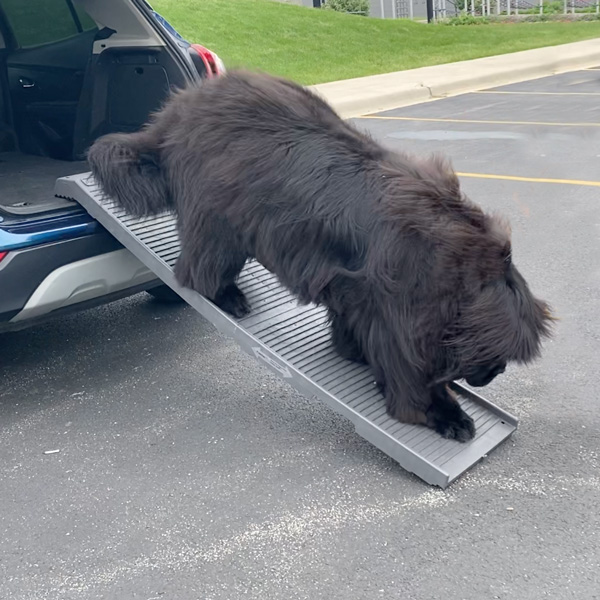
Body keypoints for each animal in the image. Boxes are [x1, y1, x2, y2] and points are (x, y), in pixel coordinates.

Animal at [88, 71, 552, 446]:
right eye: (494, 360)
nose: (494, 374)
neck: (457, 275)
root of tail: (182, 105)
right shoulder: (398, 312)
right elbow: (409, 370)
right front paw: (442, 414)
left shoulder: (360, 294)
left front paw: (353, 352)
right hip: (219, 214)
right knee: (200, 267)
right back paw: (226, 296)